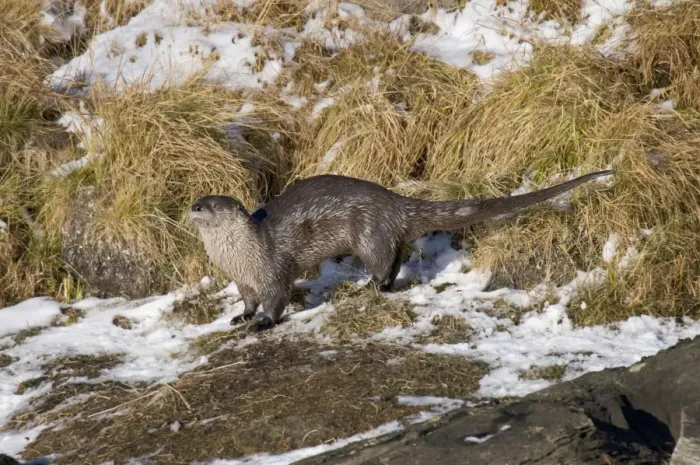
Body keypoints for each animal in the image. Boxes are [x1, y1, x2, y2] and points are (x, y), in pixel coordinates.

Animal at [189, 171, 612, 331]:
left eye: (213, 205)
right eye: (199, 200)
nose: (193, 206)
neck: (242, 256)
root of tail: (396, 204)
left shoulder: (273, 268)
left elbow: (277, 299)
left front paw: (263, 322)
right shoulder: (243, 280)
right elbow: (248, 301)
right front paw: (242, 317)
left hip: (368, 232)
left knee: (384, 263)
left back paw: (368, 288)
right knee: (395, 259)